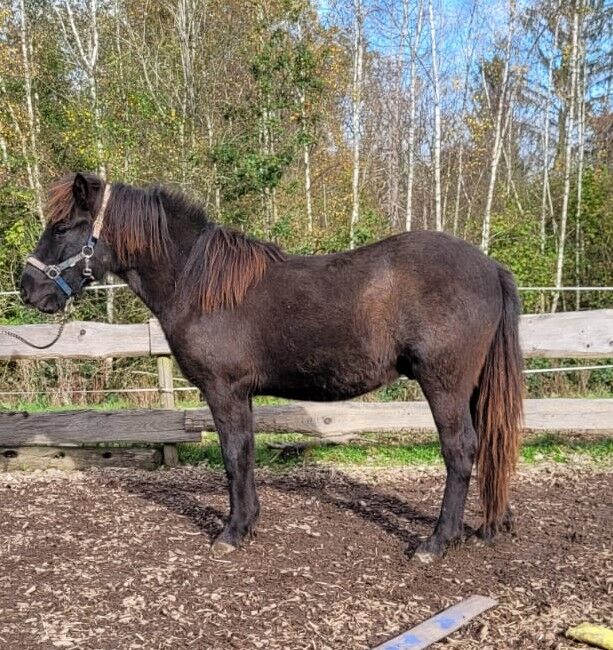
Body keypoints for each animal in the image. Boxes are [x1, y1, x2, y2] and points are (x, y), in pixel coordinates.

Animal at [21, 173, 524, 560]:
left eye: (64, 226)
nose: (26, 287)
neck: (197, 283)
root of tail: (490, 266)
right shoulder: (238, 394)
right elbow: (243, 455)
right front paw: (248, 523)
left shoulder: (223, 390)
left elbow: (234, 455)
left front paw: (232, 532)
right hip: (472, 388)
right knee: (491, 442)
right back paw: (489, 526)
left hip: (444, 385)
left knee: (460, 450)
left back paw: (436, 543)